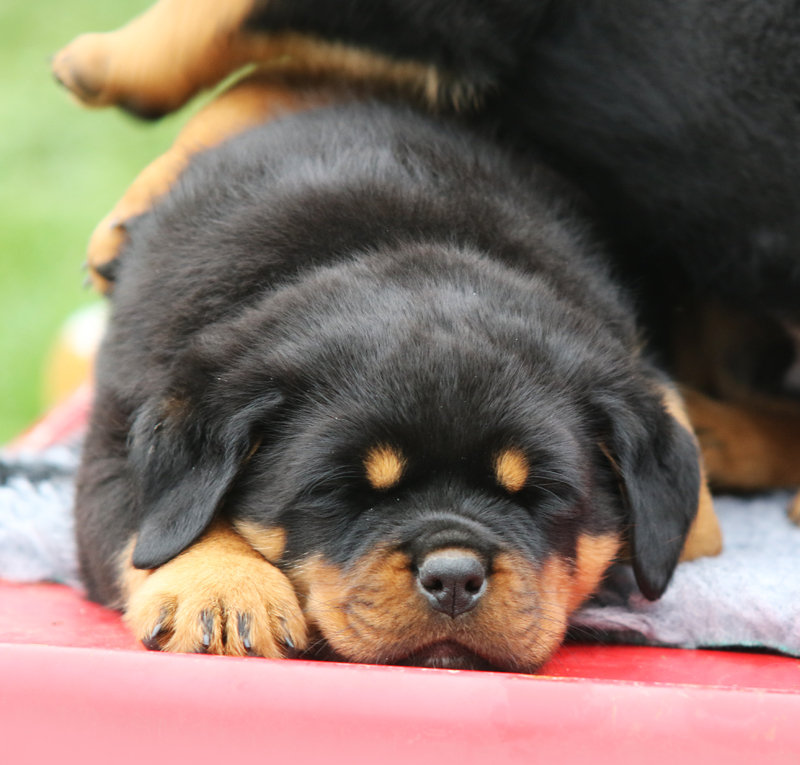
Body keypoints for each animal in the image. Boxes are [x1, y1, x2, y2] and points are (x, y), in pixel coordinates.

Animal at [75, 102, 715, 670]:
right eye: (344, 491)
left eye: (541, 494)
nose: (454, 576)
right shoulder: (115, 443)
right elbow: (147, 526)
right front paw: (223, 589)